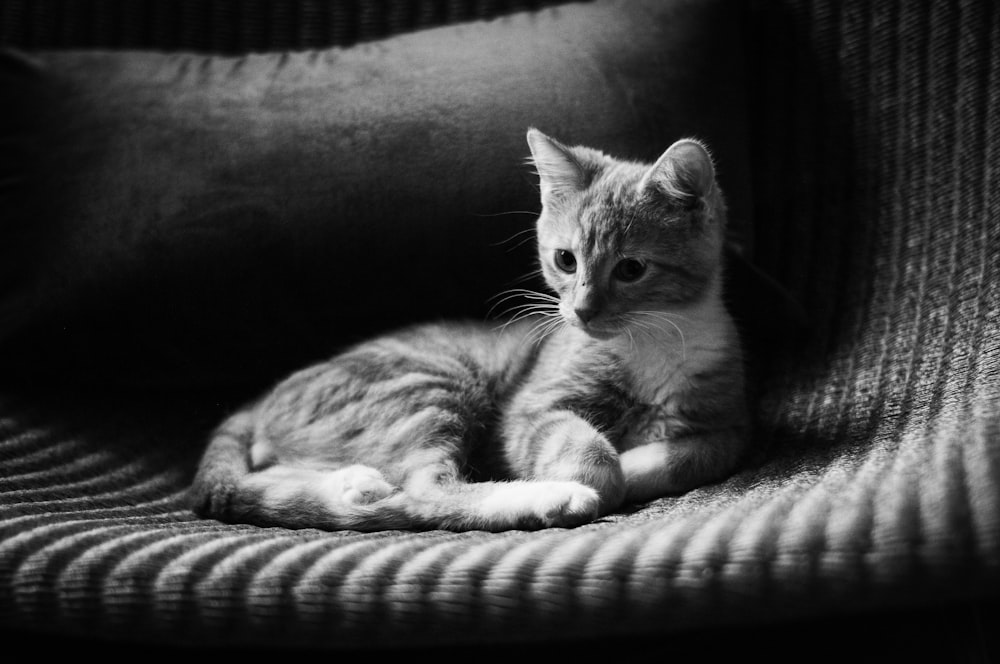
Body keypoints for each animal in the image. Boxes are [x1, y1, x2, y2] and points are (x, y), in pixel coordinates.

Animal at [189, 130, 752, 532]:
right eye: (565, 260)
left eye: (631, 269)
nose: (582, 312)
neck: (652, 344)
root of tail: (259, 402)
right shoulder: (528, 410)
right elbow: (591, 455)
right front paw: (594, 475)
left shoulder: (722, 425)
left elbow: (697, 454)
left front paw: (632, 466)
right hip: (430, 390)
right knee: (424, 492)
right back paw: (552, 498)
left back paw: (350, 484)